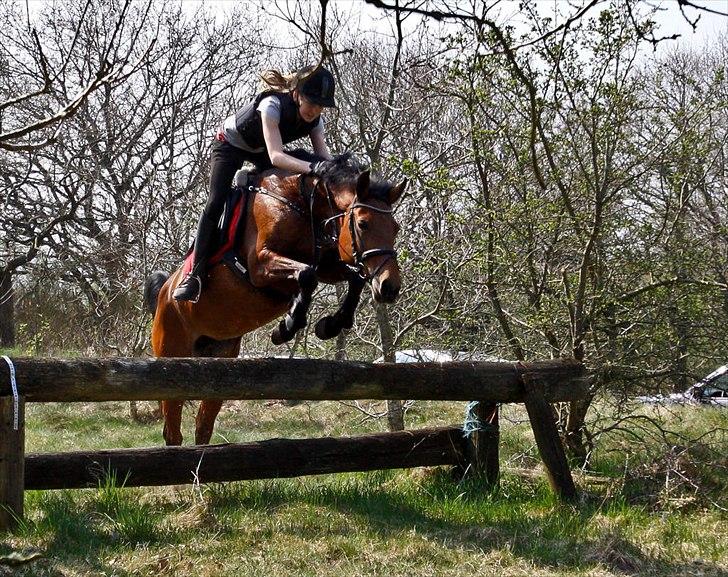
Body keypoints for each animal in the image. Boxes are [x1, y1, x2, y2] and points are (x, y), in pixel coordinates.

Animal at [142, 154, 404, 446]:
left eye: (395, 228)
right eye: (363, 224)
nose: (390, 287)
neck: (303, 204)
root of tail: (164, 292)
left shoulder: (327, 262)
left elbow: (349, 277)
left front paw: (330, 325)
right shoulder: (260, 266)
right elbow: (307, 275)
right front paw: (287, 326)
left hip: (219, 362)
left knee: (203, 425)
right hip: (171, 354)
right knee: (173, 430)